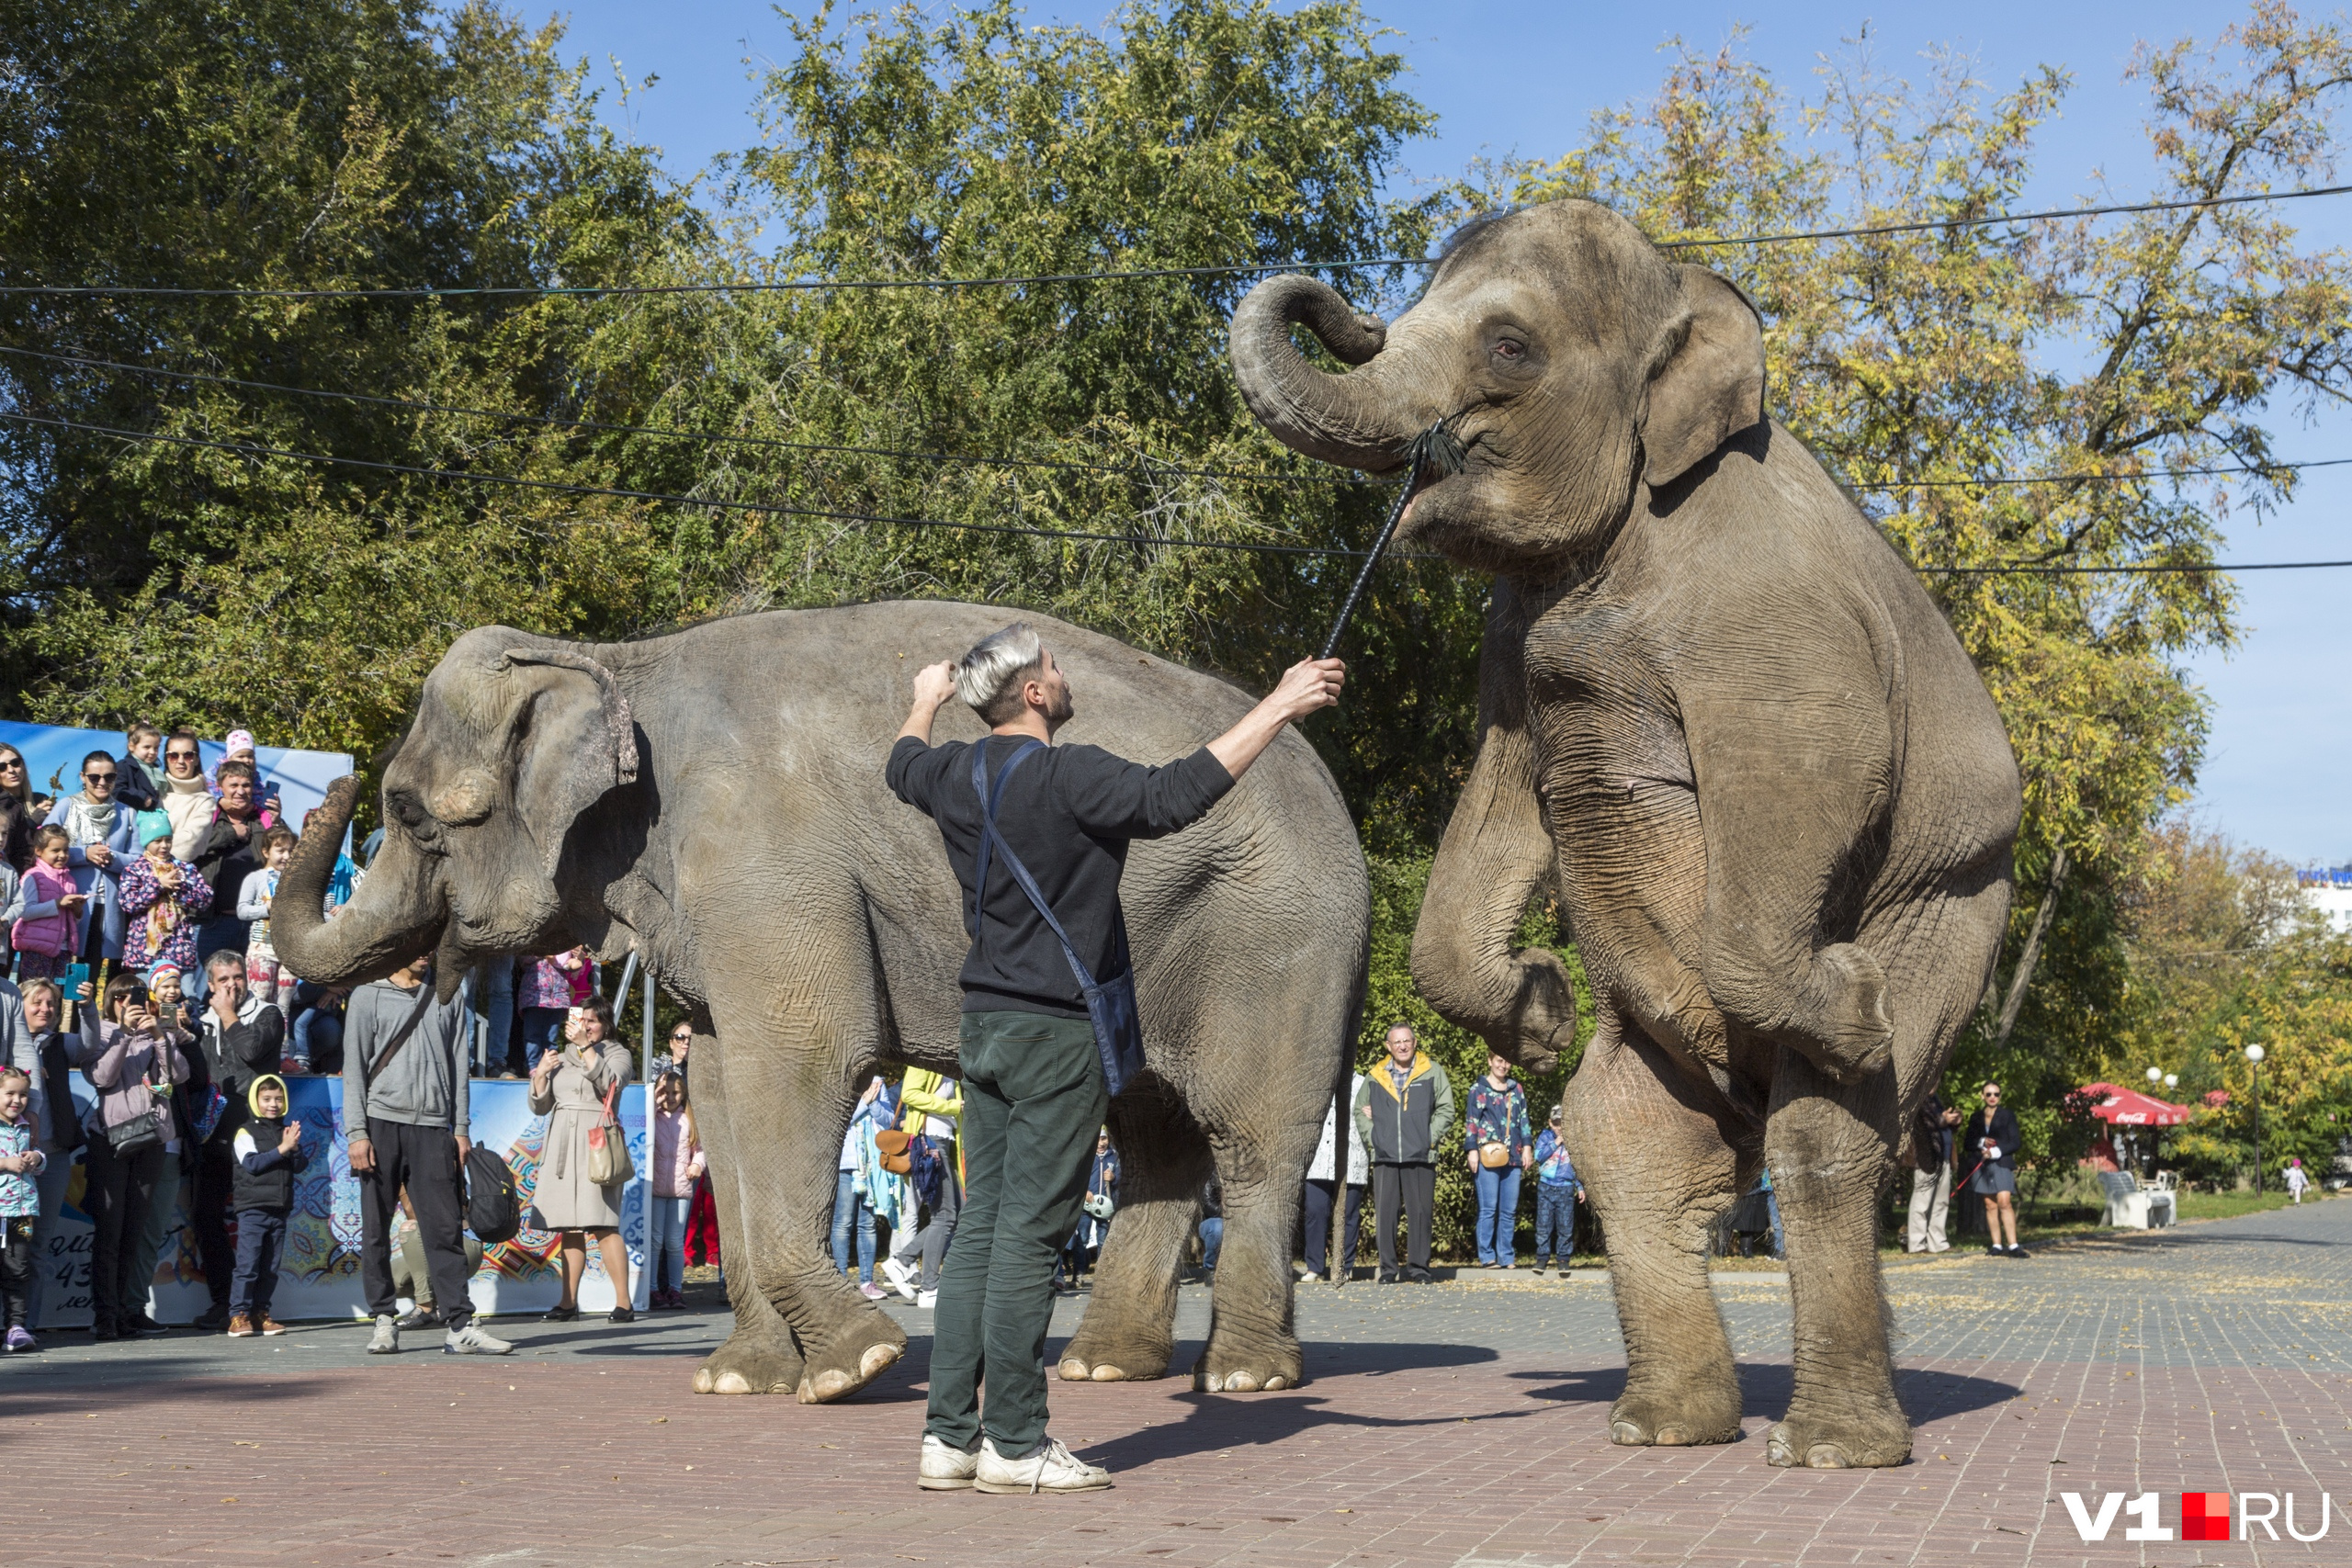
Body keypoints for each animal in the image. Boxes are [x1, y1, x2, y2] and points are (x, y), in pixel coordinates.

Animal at [270, 606, 1374, 1401]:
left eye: (410, 813)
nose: (320, 788)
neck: (616, 663)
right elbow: (720, 1085)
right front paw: (743, 1380)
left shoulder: (768, 867)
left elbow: (797, 1065)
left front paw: (857, 1364)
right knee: (1154, 1134)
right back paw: (1104, 1366)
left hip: (1275, 938)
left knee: (1248, 1135)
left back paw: (1243, 1375)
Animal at [1232, 199, 2022, 1476]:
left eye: (1509, 347)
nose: (1340, 310)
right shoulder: (1514, 649)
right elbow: (1497, 796)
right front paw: (1541, 1007)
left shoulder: (1768, 613)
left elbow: (1819, 762)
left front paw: (1854, 1010)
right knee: (1621, 1147)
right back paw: (1666, 1427)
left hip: (1951, 905)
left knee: (1820, 1139)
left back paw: (1828, 1445)